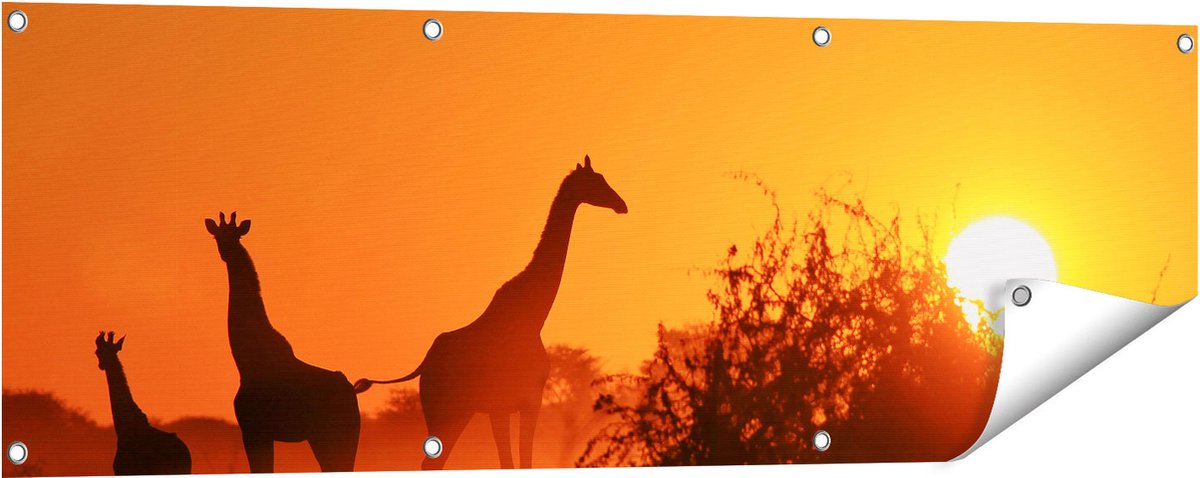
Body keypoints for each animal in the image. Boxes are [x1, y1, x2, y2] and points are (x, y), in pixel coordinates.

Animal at [205, 212, 361, 473]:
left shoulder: (253, 430)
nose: (226, 251)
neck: (247, 363)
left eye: (236, 236)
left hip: (329, 435)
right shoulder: (259, 433)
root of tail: (351, 391)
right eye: (218, 236)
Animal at [354, 155, 627, 469]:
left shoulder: (521, 404)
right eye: (597, 181)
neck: (533, 318)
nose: (622, 204)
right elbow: (512, 461)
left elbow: (520, 461)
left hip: (458, 412)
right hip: (445, 410)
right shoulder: (511, 404)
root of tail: (423, 365)